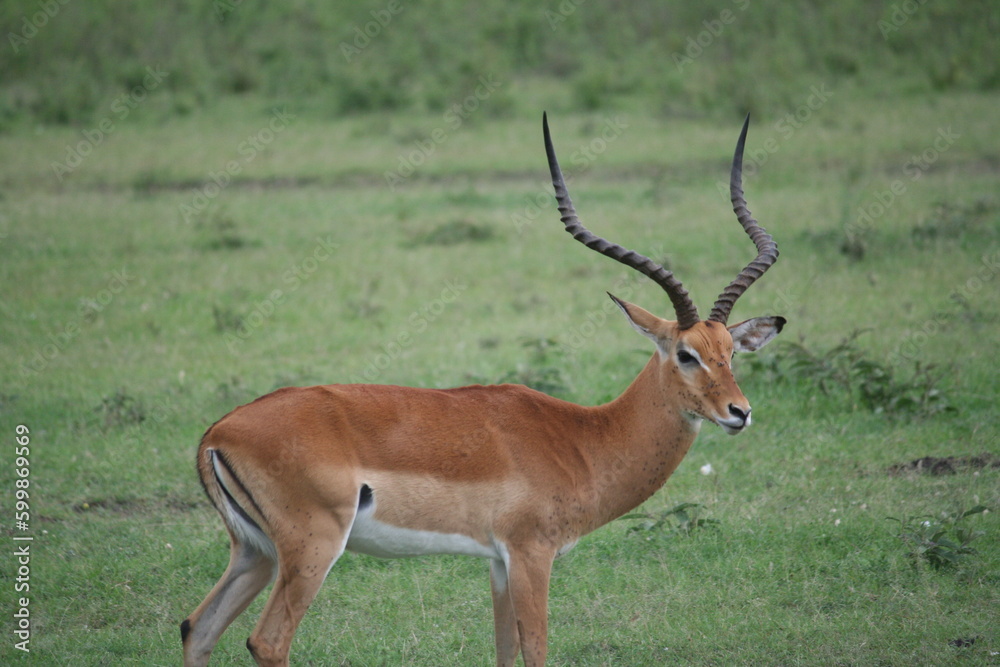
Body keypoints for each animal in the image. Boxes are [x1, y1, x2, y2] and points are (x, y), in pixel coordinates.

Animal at [181, 113, 786, 666]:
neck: (584, 439)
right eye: (686, 354)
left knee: (197, 627)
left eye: (730, 352)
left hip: (255, 553)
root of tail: (218, 432)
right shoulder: (531, 554)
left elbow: (504, 652)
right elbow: (536, 652)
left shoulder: (497, 562)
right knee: (266, 641)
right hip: (311, 550)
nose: (739, 412)